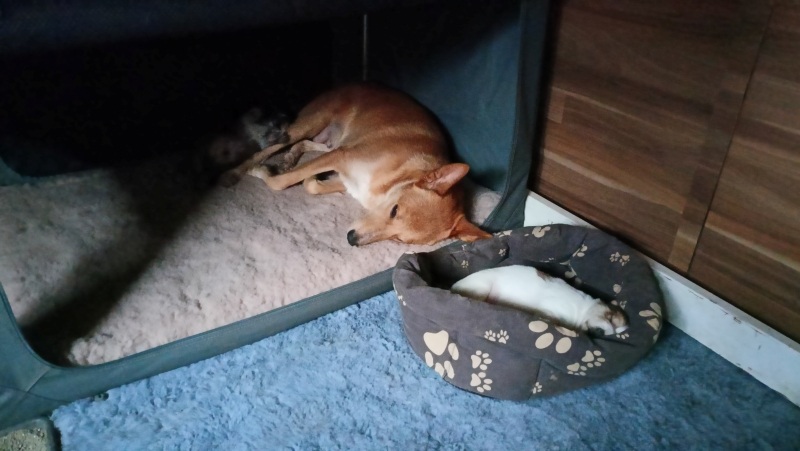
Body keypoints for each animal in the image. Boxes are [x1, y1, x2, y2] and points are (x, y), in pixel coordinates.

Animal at [221, 83, 491, 246]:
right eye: (394, 211)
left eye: (400, 241)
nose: (352, 239)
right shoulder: (342, 156)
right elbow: (280, 182)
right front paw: (264, 172)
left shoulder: (347, 173)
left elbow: (311, 185)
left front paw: (313, 179)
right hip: (310, 124)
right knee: (269, 148)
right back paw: (237, 171)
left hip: (330, 139)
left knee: (306, 145)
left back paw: (291, 158)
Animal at [450, 265, 628, 335]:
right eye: (610, 319)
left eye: (612, 334)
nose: (600, 332)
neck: (583, 311)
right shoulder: (550, 309)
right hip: (483, 288)